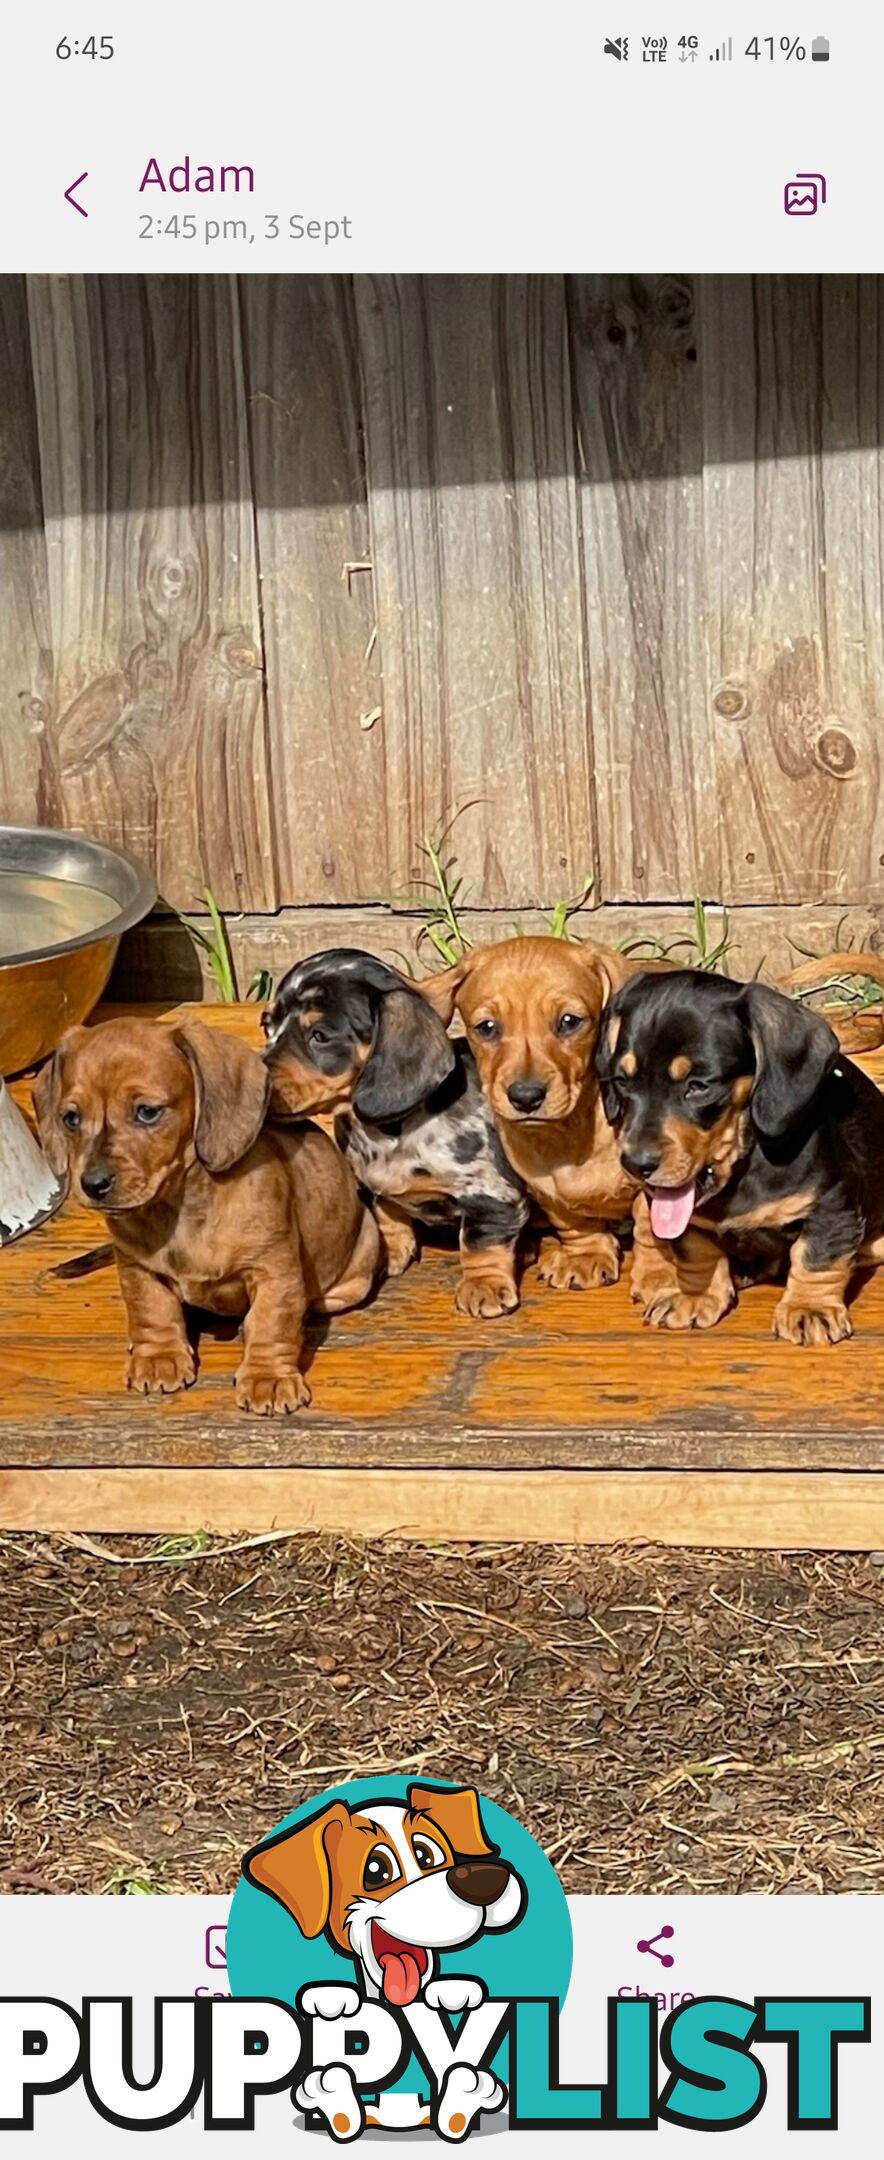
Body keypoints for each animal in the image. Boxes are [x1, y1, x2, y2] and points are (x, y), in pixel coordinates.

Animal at [34, 1015, 378, 1416]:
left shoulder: (274, 1273)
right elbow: (151, 1310)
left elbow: (271, 1322)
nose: (93, 1184)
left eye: (147, 1112)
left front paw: (268, 1378)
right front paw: (158, 1356)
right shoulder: (138, 1269)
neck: (178, 1209)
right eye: (71, 1118)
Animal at [258, 950, 527, 1313]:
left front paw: (483, 1284)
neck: (391, 1133)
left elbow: (480, 1240)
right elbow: (389, 1214)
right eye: (266, 1024)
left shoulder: (491, 1193)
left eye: (320, 1035)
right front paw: (389, 1251)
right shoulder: (379, 1189)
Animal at [417, 928, 670, 1296]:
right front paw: (585, 1257)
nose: (525, 1097)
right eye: (486, 1027)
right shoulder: (549, 1192)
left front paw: (660, 1275)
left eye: (569, 1021)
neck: (570, 1132)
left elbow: (651, 1229)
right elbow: (576, 1225)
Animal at [592, 972, 884, 1339]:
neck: (745, 1165)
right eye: (622, 1081)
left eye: (698, 1086)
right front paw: (695, 1295)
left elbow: (817, 1258)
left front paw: (809, 1308)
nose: (636, 1165)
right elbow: (695, 1249)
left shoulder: (833, 1202)